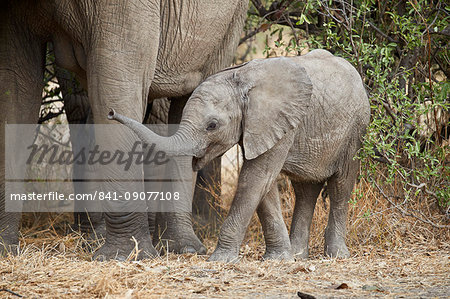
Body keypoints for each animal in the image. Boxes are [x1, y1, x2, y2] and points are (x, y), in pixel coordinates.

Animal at [0, 0, 246, 262]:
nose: (112, 114)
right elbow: (14, 85)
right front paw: (5, 248)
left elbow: (115, 79)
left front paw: (124, 256)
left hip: (229, 23)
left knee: (191, 93)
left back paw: (183, 248)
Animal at [109, 49, 370, 262]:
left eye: (212, 125)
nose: (111, 113)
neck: (240, 78)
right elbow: (263, 185)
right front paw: (279, 259)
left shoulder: (280, 122)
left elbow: (256, 177)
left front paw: (220, 259)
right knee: (305, 189)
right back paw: (299, 255)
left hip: (355, 131)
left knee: (341, 186)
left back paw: (336, 255)